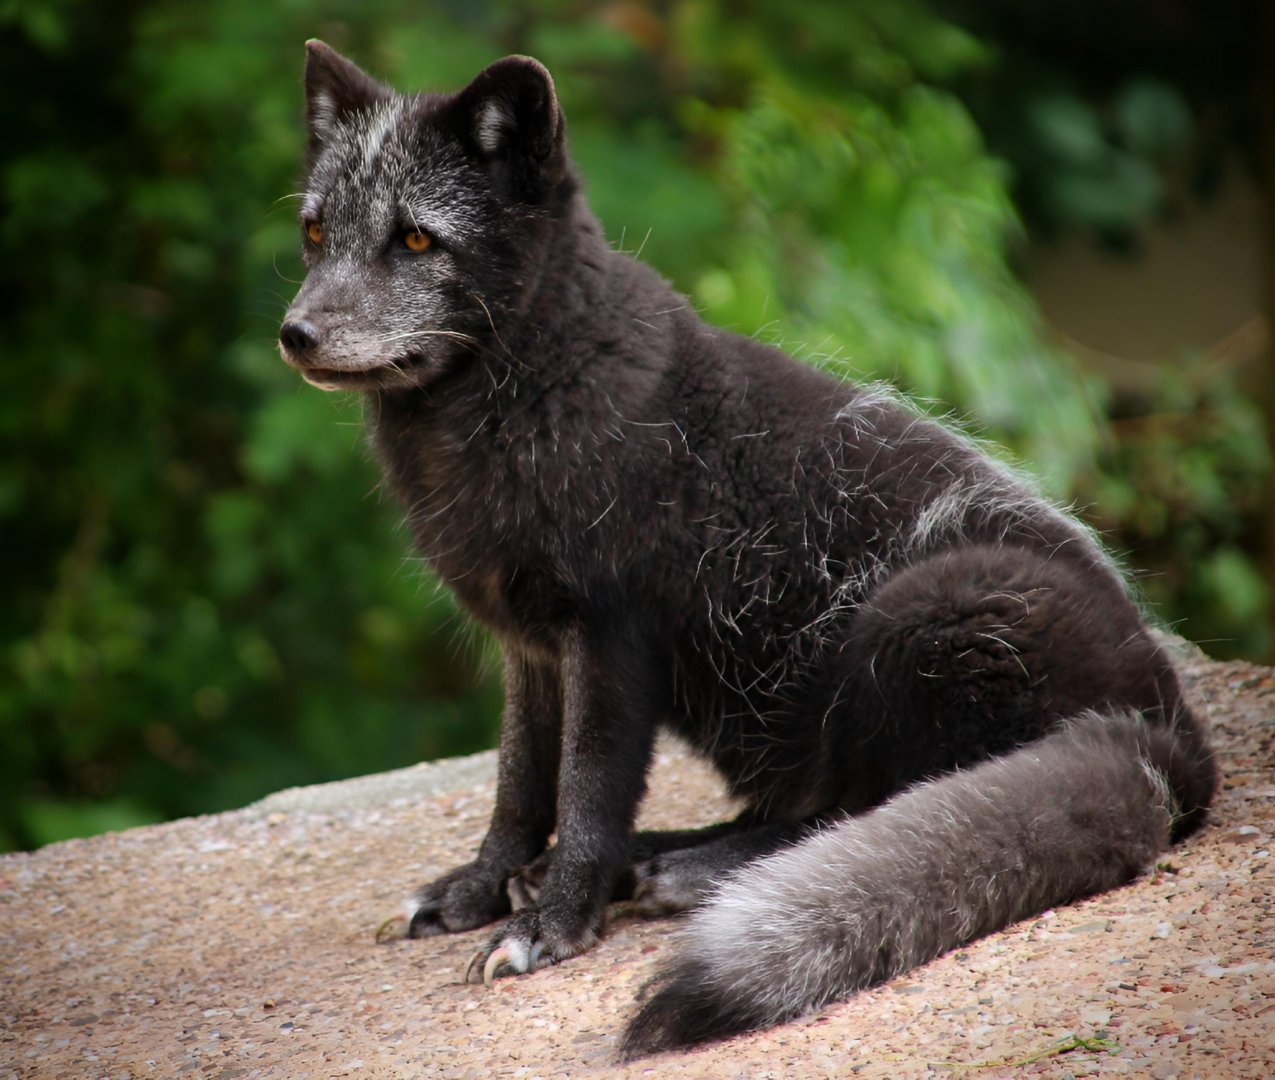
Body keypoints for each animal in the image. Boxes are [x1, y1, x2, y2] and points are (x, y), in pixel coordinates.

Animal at [278, 42, 1218, 1059]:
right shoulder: (525, 643)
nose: (294, 334)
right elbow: (521, 788)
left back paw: (683, 871)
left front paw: (552, 925)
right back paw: (657, 858)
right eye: (315, 232)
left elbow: (588, 790)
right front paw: (484, 890)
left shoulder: (609, 636)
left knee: (865, 806)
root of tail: (1171, 738)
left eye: (416, 242)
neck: (517, 404)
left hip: (918, 614)